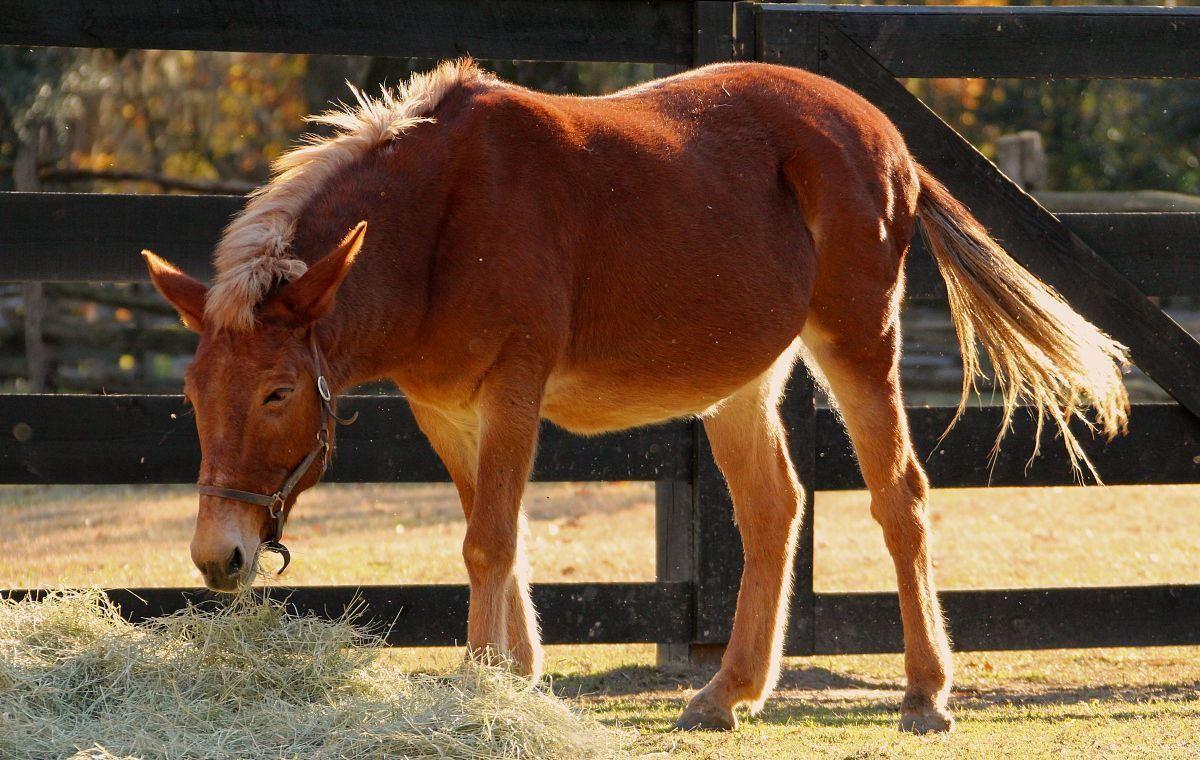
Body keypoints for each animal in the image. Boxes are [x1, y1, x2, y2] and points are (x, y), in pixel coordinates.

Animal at [145, 62, 1128, 729]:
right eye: (193, 392)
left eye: (277, 393)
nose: (218, 557)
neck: (437, 222)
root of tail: (889, 138)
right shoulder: (448, 411)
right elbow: (498, 537)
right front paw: (516, 677)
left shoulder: (512, 388)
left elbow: (488, 540)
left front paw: (480, 684)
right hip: (742, 380)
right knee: (773, 508)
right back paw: (729, 691)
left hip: (856, 345)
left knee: (901, 499)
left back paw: (925, 692)